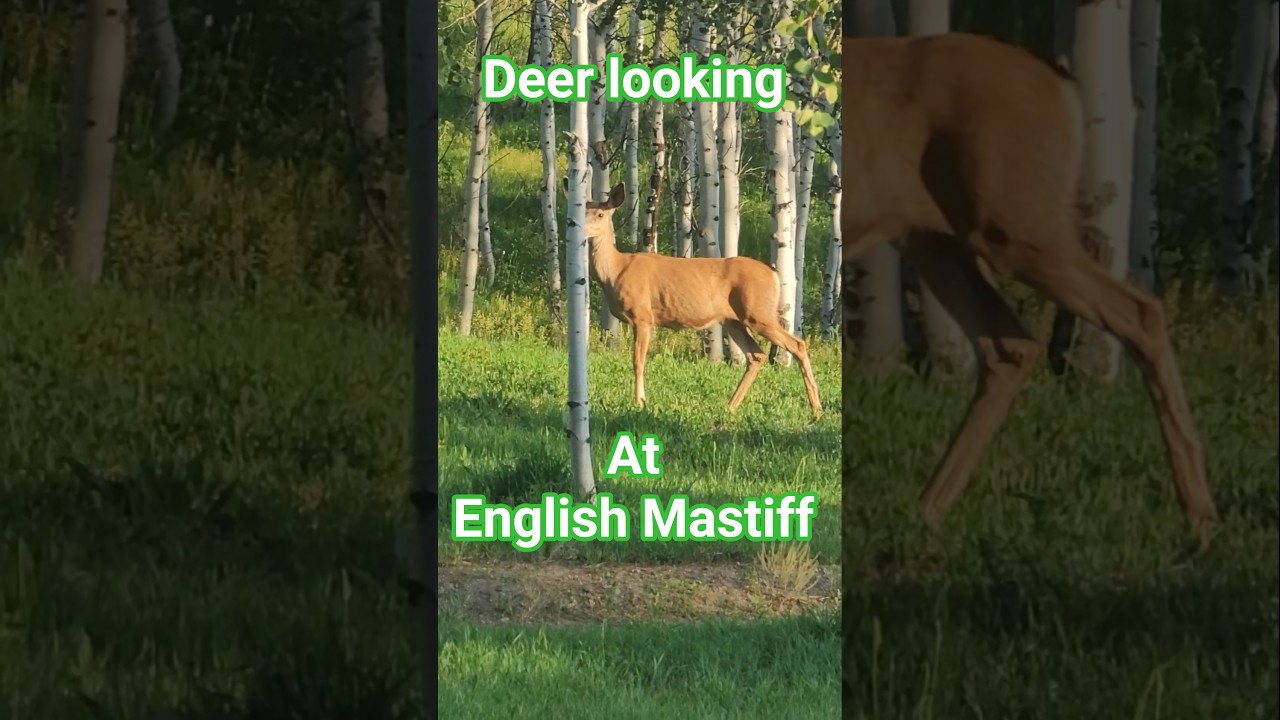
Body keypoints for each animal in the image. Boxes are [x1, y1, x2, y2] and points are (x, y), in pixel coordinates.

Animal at [566, 179, 823, 418]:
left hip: (758, 312)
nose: (578, 229)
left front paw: (639, 402)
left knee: (797, 344)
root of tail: (774, 275)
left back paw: (816, 408)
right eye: (582, 211)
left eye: (600, 214)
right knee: (756, 355)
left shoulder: (643, 316)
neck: (616, 271)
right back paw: (730, 405)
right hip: (735, 320)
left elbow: (638, 361)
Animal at [841, 32, 1218, 543]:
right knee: (1010, 345)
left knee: (1138, 312)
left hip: (1015, 223)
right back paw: (926, 511)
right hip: (936, 237)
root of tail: (1061, 85)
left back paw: (1200, 515)